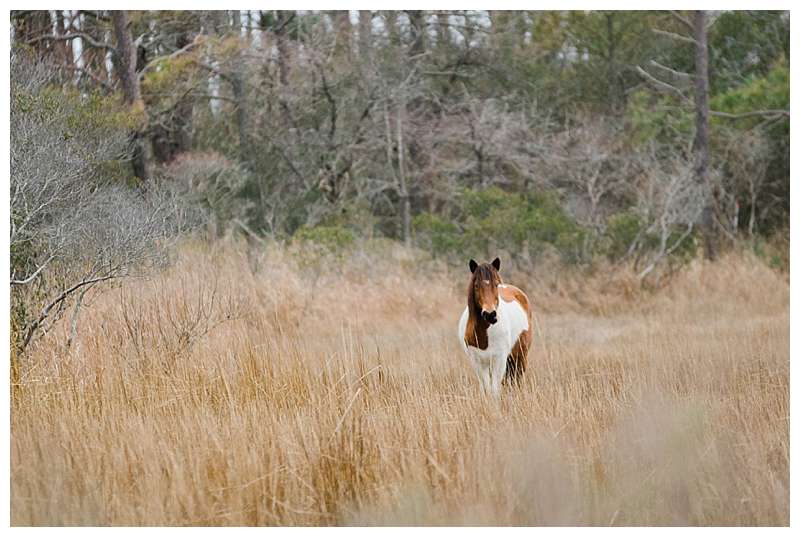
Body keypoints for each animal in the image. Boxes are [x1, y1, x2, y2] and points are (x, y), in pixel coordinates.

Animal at [456, 258, 532, 396]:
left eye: (496, 285)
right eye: (476, 285)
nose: (490, 314)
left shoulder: (500, 360)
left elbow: (495, 390)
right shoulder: (478, 362)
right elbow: (486, 389)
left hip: (520, 357)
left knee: (517, 381)